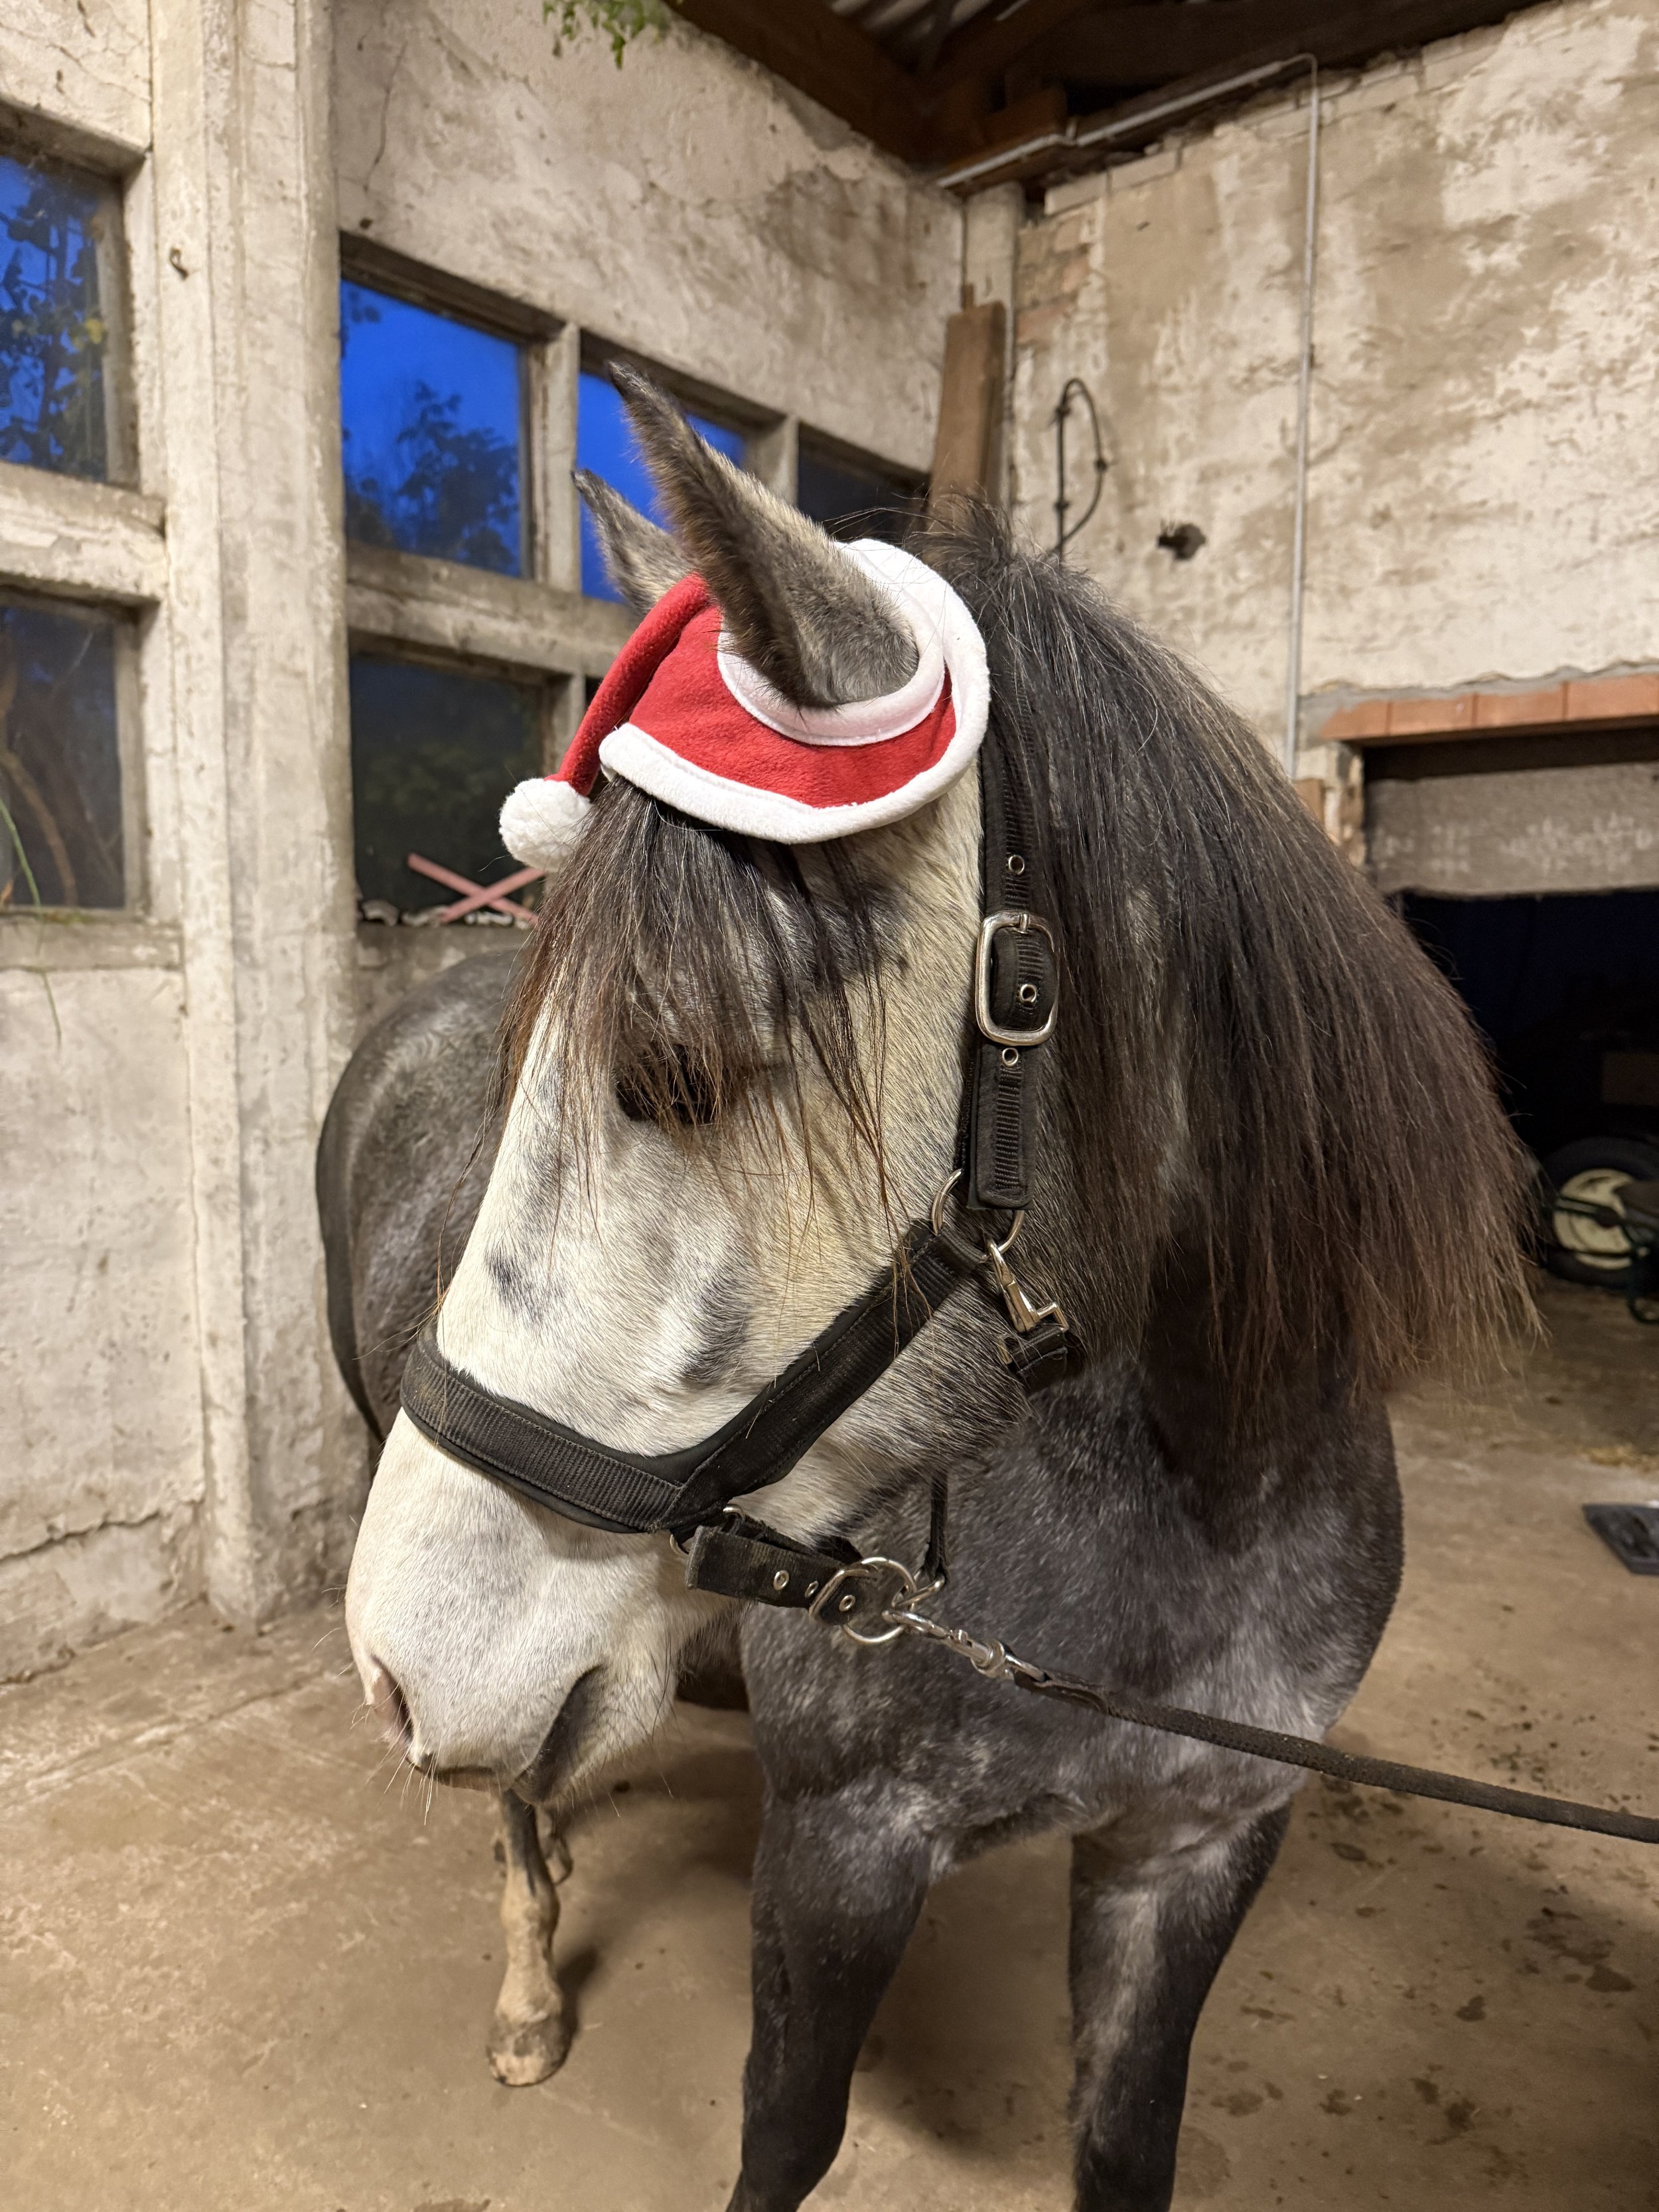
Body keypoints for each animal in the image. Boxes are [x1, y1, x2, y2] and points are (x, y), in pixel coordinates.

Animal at [342, 371, 1528, 2210]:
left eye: (677, 1066)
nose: (405, 1661)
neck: (1201, 1493)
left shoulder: (1194, 1848)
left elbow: (1125, 2146)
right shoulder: (844, 1850)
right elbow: (785, 2139)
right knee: (517, 1811)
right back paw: (530, 1990)